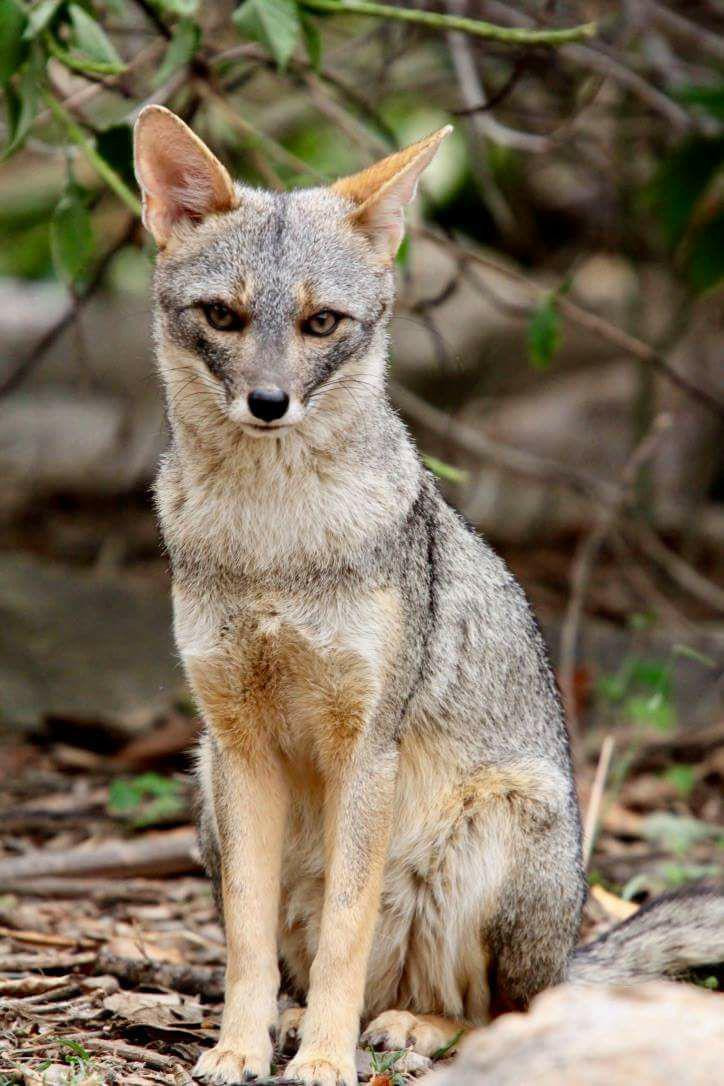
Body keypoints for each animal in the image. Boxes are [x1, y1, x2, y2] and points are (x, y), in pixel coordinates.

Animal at [133, 106, 724, 1086]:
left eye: (321, 322)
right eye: (223, 316)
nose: (268, 402)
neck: (274, 545)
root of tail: (571, 950)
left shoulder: (365, 745)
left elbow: (346, 928)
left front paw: (324, 1061)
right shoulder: (239, 745)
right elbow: (249, 942)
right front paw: (240, 1047)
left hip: (502, 830)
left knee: (500, 1012)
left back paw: (401, 1029)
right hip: (204, 782)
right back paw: (305, 1024)